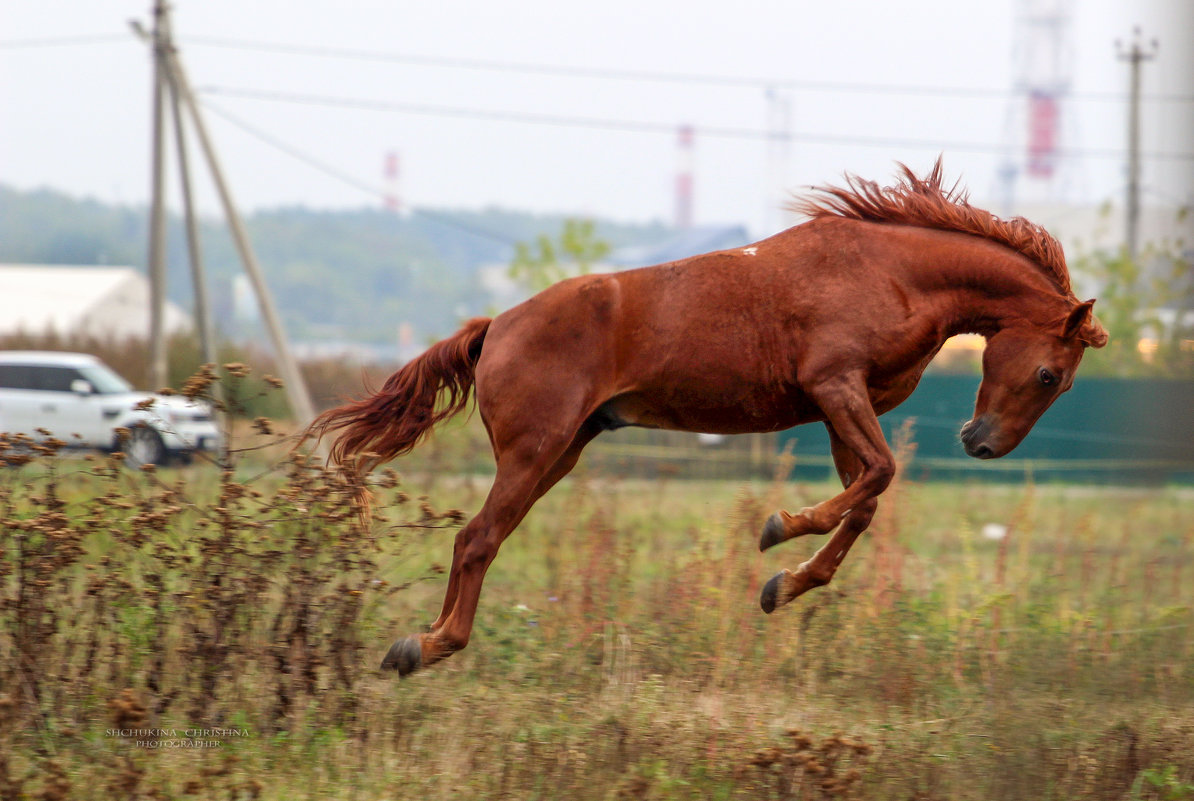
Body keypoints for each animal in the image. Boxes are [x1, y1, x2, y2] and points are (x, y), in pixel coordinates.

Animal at [308, 159, 1108, 673]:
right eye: (1049, 374)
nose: (982, 444)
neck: (893, 272)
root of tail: (496, 324)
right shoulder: (835, 386)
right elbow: (878, 474)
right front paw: (778, 528)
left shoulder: (841, 407)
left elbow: (865, 500)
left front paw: (785, 584)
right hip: (535, 452)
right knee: (476, 538)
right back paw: (427, 646)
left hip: (560, 454)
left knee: (483, 538)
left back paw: (422, 642)